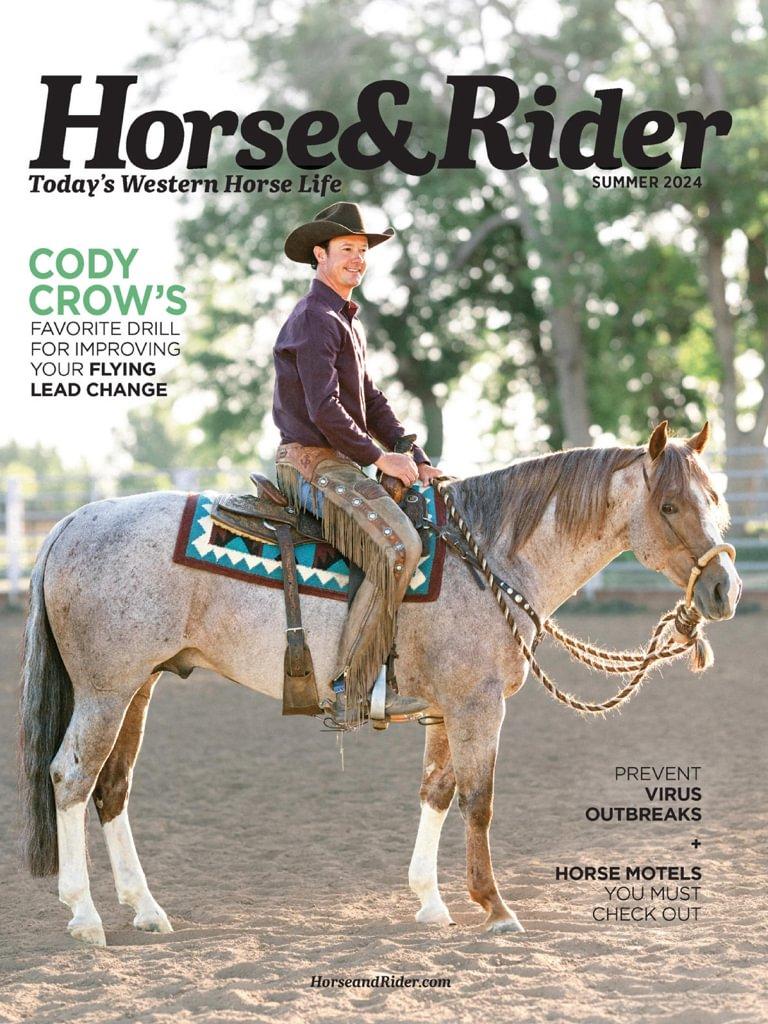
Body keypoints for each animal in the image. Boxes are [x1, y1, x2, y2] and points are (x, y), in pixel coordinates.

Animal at [18, 421, 741, 946]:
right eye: (670, 504)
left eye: (718, 501)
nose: (724, 590)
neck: (490, 556)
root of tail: (69, 524)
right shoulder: (477, 704)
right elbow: (479, 800)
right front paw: (495, 907)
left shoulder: (446, 709)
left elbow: (437, 792)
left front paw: (431, 902)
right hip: (106, 691)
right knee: (71, 778)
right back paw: (84, 917)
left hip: (138, 687)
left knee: (112, 788)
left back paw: (145, 910)